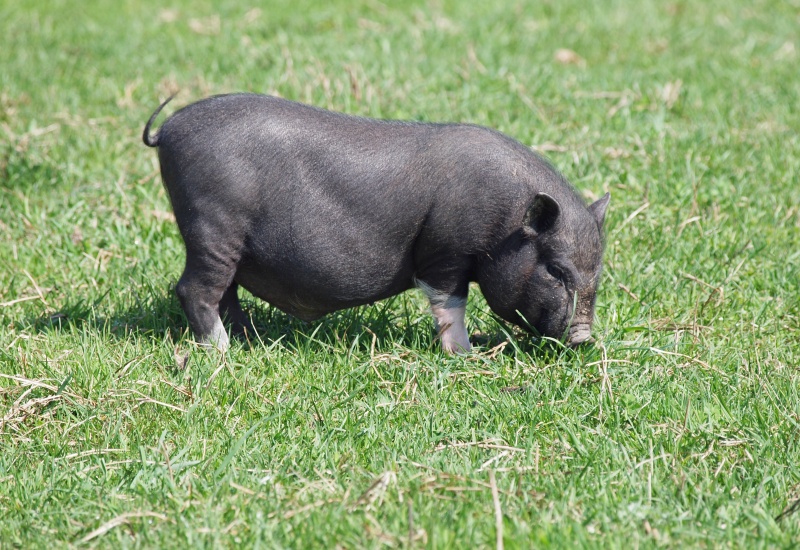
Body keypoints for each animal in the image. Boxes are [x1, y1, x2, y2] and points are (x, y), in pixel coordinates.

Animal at [142, 95, 608, 354]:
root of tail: (167, 129)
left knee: (227, 293)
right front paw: (464, 355)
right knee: (195, 290)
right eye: (556, 270)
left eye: (597, 272)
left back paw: (249, 340)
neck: (505, 221)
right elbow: (449, 300)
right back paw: (223, 353)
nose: (584, 337)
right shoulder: (445, 250)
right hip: (211, 227)